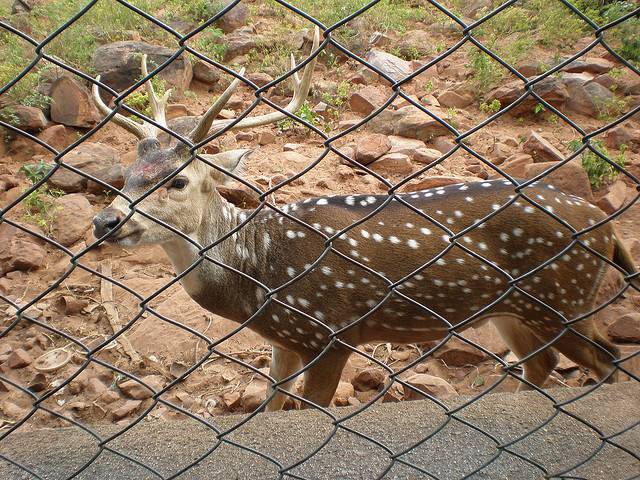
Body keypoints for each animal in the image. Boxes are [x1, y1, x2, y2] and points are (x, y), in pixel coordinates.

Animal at [91, 27, 636, 412]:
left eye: (178, 181)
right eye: (128, 176)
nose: (105, 222)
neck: (259, 270)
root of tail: (607, 227)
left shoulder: (331, 333)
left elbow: (311, 410)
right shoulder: (284, 340)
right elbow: (269, 407)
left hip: (564, 298)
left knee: (608, 361)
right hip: (514, 310)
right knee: (542, 364)